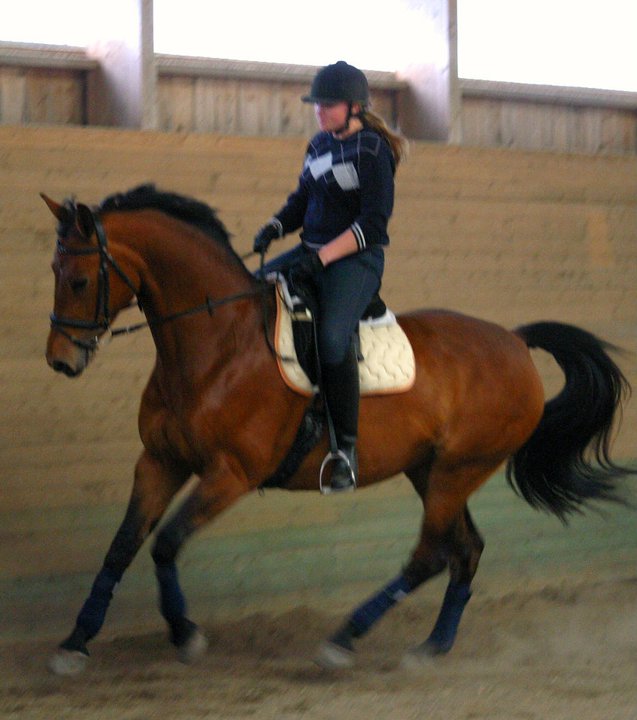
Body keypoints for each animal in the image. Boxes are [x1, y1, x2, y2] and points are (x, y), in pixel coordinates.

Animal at [42, 184, 633, 676]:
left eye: (80, 280)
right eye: (53, 273)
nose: (60, 361)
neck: (217, 344)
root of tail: (514, 340)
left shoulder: (230, 474)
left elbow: (165, 543)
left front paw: (185, 634)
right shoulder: (161, 461)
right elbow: (122, 545)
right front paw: (75, 642)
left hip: (459, 468)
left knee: (431, 554)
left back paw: (344, 639)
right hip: (432, 469)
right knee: (465, 550)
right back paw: (432, 647)